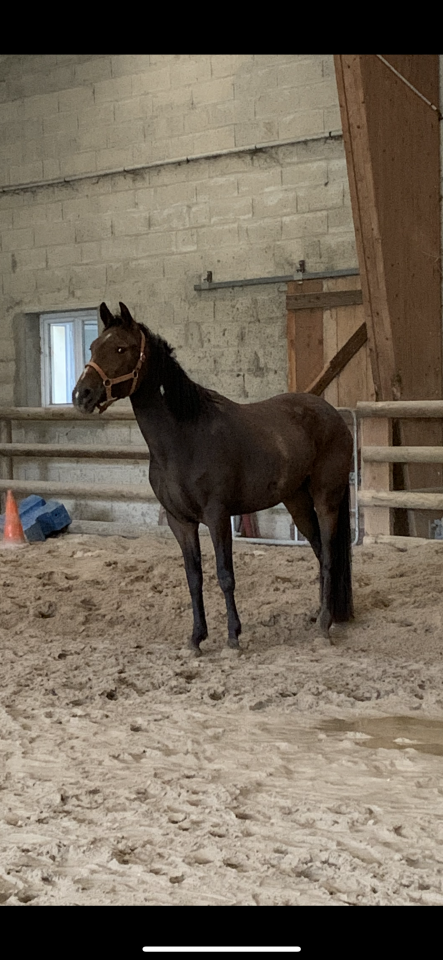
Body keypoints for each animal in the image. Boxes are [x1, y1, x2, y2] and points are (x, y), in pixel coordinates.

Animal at [73, 302, 354, 653]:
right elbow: (194, 577)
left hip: (326, 499)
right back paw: (319, 614)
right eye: (93, 347)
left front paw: (233, 636)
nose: (81, 395)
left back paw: (324, 625)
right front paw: (196, 638)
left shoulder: (217, 516)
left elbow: (225, 575)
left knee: (328, 556)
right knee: (317, 552)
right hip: (297, 501)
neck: (185, 438)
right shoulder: (181, 522)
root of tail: (334, 416)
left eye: (121, 348)